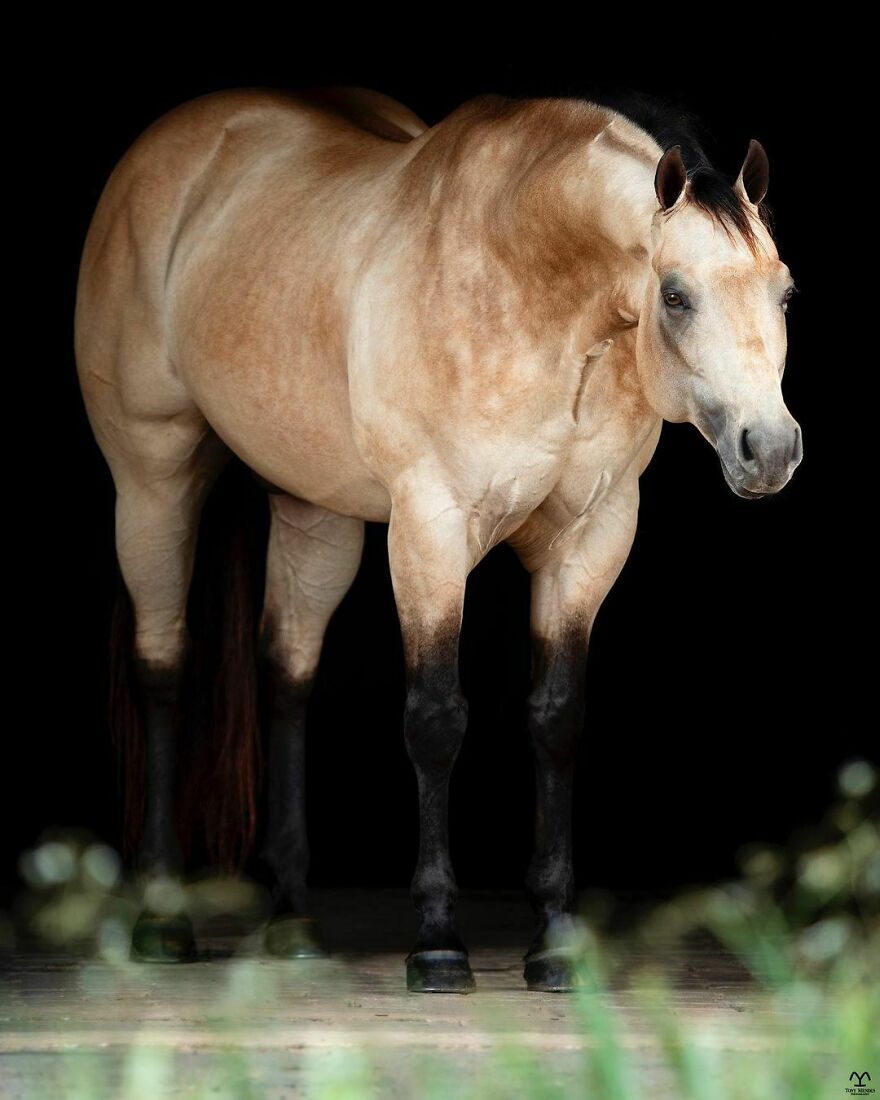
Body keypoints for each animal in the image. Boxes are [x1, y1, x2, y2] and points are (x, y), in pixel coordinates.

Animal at [74, 85, 802, 993]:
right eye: (674, 294)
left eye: (784, 293)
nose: (769, 450)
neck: (529, 288)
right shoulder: (430, 527)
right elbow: (435, 719)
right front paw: (438, 941)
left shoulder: (590, 539)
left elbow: (556, 719)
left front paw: (554, 942)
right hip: (152, 479)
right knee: (163, 667)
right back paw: (162, 919)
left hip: (313, 512)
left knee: (287, 675)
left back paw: (292, 923)